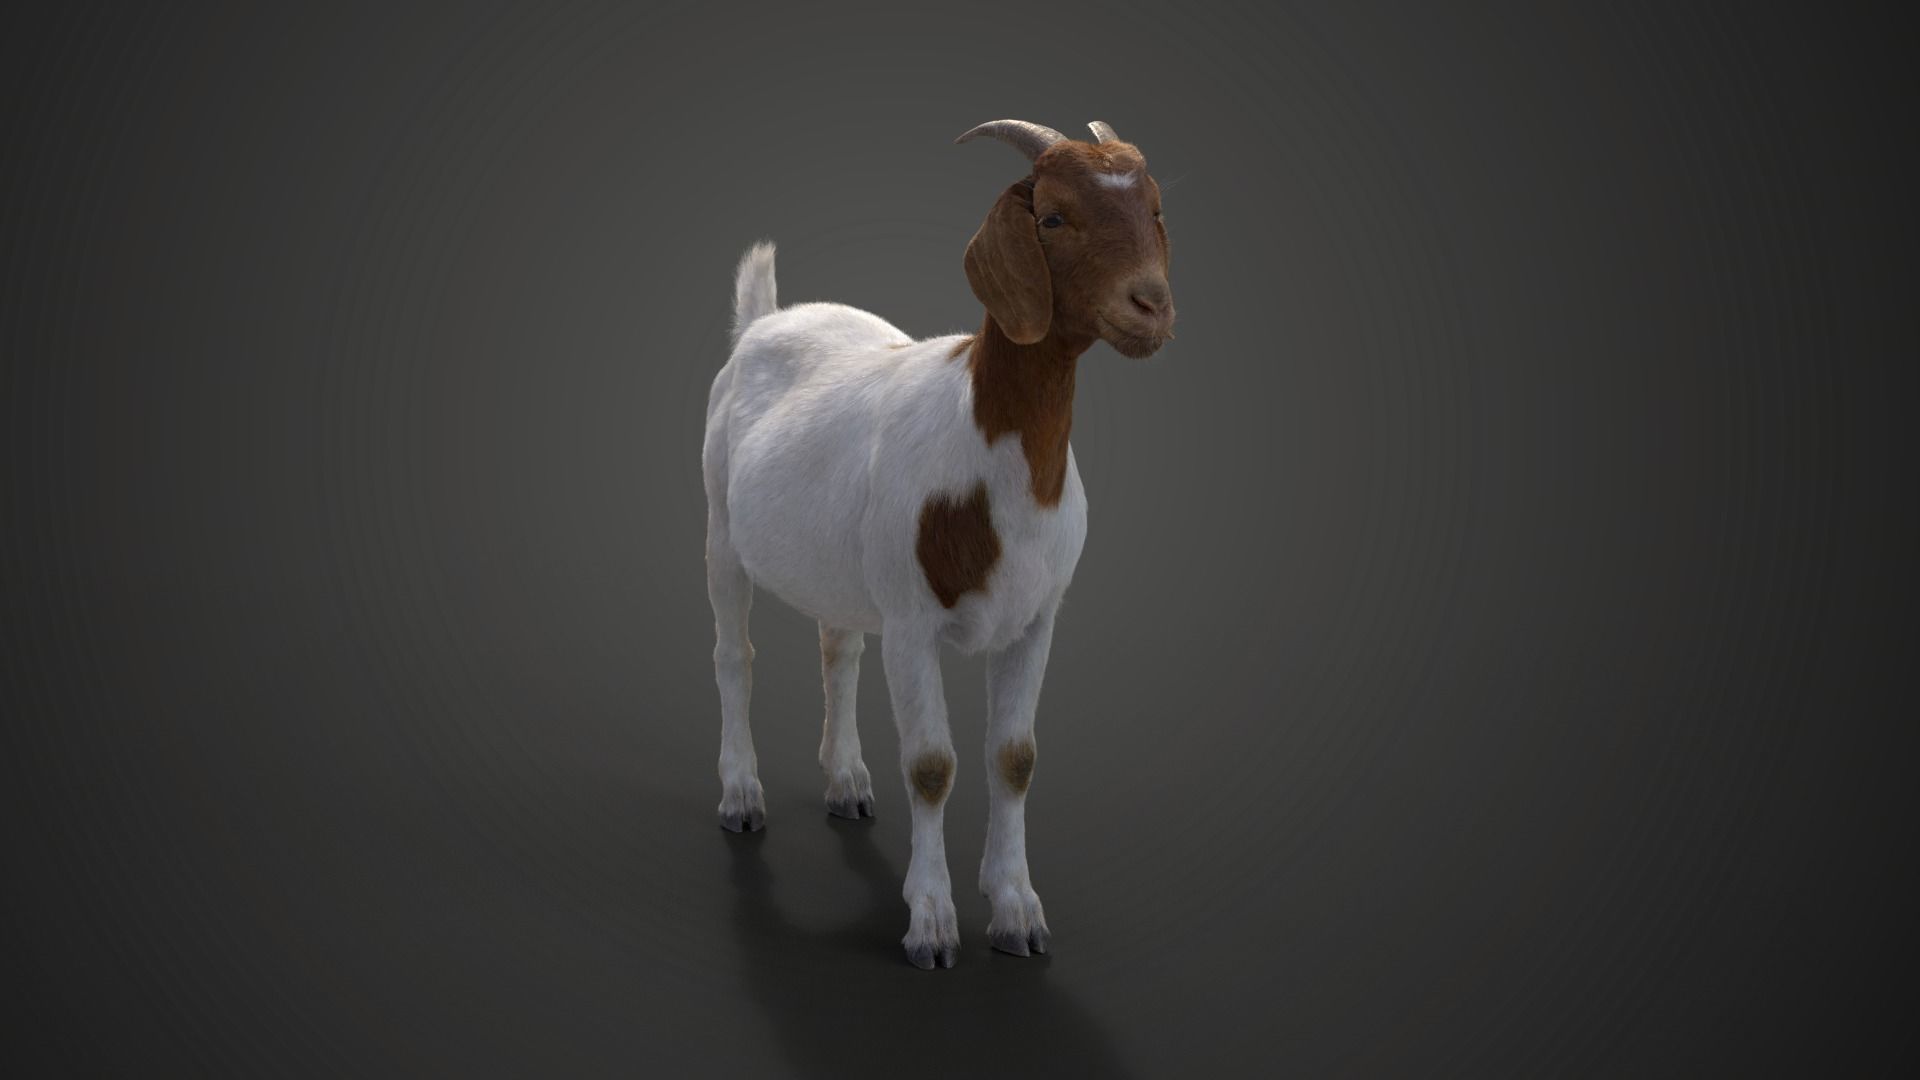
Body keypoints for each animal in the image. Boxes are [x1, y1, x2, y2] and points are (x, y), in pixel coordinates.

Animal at [701, 118, 1175, 969]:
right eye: (1052, 217)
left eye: (1155, 210)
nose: (1151, 304)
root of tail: (764, 319)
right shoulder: (912, 623)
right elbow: (931, 766)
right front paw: (930, 923)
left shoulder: (1036, 620)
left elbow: (1013, 759)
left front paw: (1016, 910)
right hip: (722, 524)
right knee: (734, 655)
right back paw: (741, 795)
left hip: (842, 563)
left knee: (838, 646)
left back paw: (847, 782)